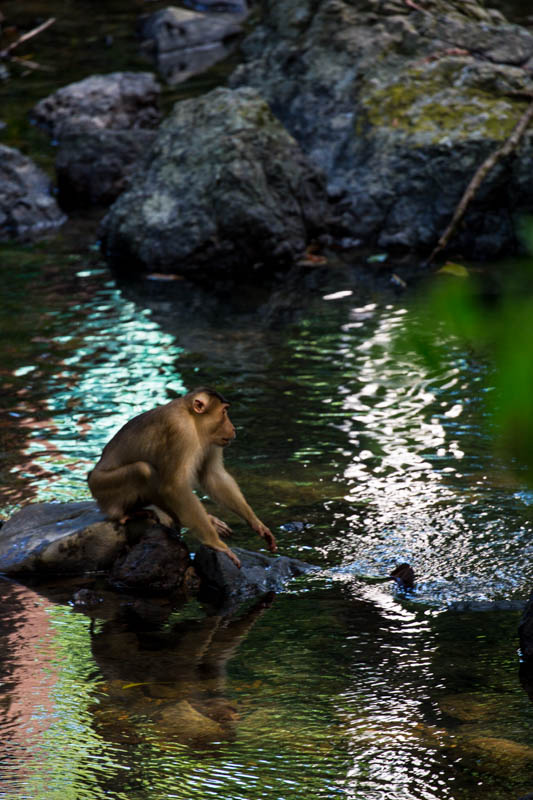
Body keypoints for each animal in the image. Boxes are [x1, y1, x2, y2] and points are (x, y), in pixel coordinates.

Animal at [87, 386, 276, 564]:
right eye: (224, 412)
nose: (233, 428)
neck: (192, 417)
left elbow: (212, 477)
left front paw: (256, 523)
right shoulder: (181, 430)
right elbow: (174, 487)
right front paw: (215, 543)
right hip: (102, 487)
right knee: (142, 470)